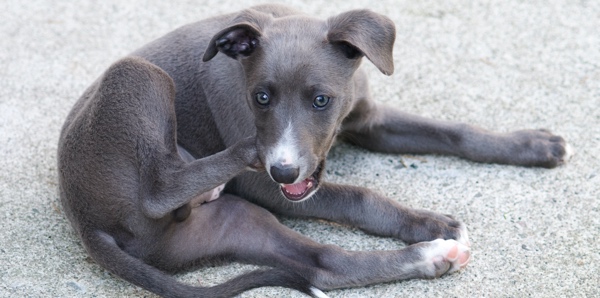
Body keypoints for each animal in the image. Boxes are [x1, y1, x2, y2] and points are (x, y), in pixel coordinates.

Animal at [58, 3, 568, 296]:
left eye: (321, 99)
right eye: (260, 97)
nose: (283, 171)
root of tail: (86, 221)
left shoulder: (369, 121)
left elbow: (450, 132)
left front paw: (531, 144)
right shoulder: (267, 188)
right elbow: (359, 196)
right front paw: (429, 222)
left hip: (236, 223)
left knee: (323, 265)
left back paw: (432, 258)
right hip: (136, 75)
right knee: (160, 185)